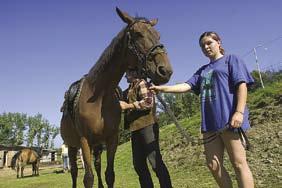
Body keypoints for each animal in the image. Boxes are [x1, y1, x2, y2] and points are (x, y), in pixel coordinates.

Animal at [60, 7, 173, 188]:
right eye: (138, 34)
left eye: (158, 35)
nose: (165, 70)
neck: (99, 96)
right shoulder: (84, 141)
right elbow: (88, 178)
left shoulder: (111, 139)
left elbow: (109, 175)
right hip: (72, 146)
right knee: (75, 172)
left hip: (97, 146)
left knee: (97, 165)